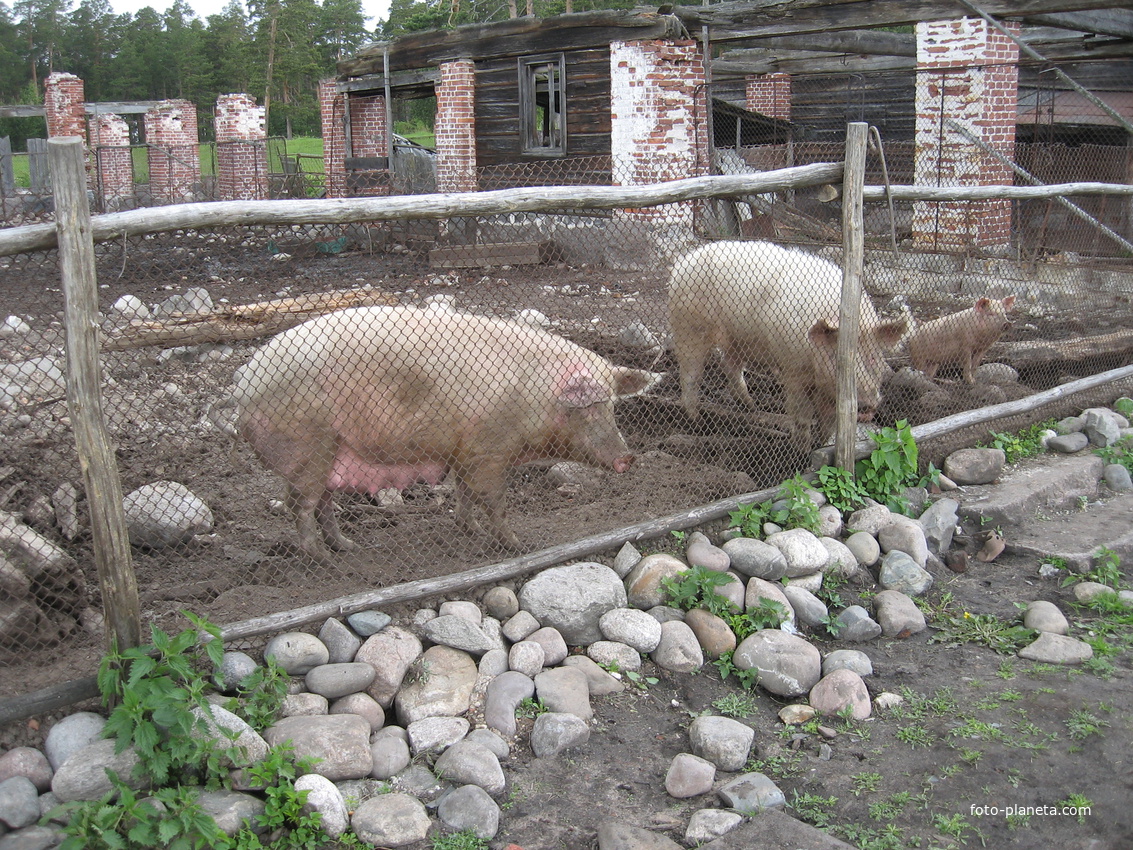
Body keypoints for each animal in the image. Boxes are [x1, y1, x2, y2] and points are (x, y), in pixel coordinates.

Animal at [229, 306, 661, 559]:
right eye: (590, 408)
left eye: (612, 405)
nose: (628, 457)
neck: (532, 398)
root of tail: (245, 383)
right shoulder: (488, 449)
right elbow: (494, 499)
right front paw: (518, 545)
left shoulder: (465, 449)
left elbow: (464, 493)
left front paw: (468, 529)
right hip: (308, 445)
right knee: (300, 505)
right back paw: (322, 559)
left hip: (328, 451)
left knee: (321, 503)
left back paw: (348, 546)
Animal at [666, 240, 906, 448]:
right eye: (837, 358)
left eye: (873, 356)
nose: (865, 406)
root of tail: (684, 261)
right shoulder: (794, 369)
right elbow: (801, 412)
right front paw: (801, 449)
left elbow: (830, 421)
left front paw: (821, 445)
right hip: (689, 327)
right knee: (690, 373)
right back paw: (696, 420)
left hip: (736, 337)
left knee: (730, 365)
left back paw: (751, 407)